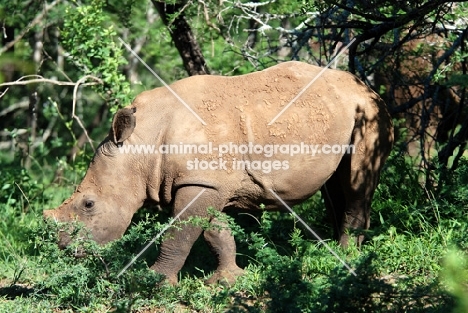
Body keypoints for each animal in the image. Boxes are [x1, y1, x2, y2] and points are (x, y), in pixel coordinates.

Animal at [44, 60, 394, 282]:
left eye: (88, 204)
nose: (65, 250)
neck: (141, 145)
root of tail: (368, 87)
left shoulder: (200, 182)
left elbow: (179, 234)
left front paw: (152, 281)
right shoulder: (209, 183)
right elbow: (215, 232)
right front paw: (228, 280)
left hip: (370, 113)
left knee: (355, 184)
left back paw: (346, 259)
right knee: (334, 188)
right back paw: (332, 252)